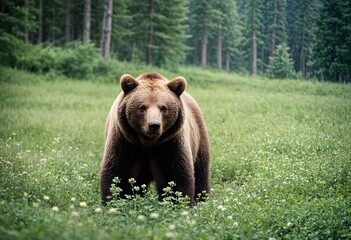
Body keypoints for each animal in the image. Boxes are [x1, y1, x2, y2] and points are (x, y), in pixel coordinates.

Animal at [101, 71, 212, 206]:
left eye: (164, 108)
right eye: (142, 107)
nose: (154, 125)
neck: (148, 143)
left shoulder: (170, 143)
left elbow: (177, 176)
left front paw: (179, 204)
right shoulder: (125, 141)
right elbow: (116, 173)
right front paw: (113, 202)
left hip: (199, 137)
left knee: (201, 171)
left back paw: (202, 199)